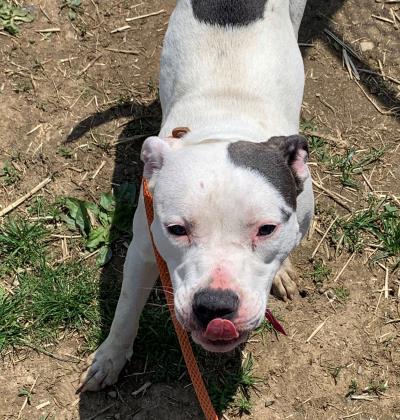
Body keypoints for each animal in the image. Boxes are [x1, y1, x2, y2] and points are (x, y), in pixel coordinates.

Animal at [79, 0, 312, 392]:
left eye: (266, 229)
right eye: (177, 230)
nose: (215, 306)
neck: (226, 122)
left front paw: (282, 269)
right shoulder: (143, 250)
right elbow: (125, 308)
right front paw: (110, 357)